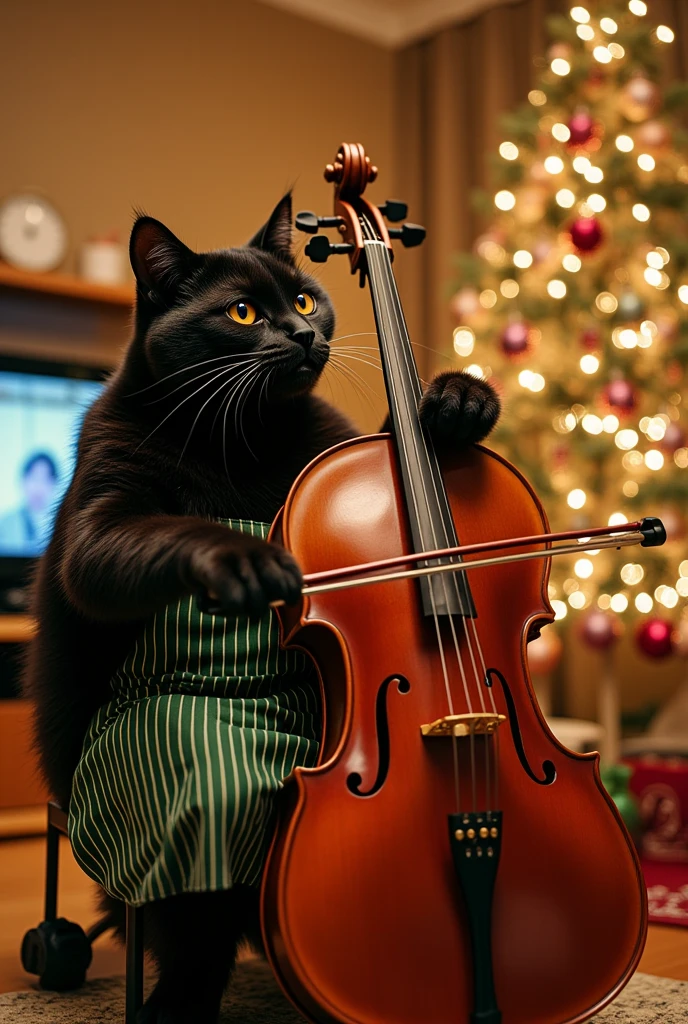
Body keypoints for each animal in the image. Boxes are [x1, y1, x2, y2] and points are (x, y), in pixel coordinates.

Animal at [22, 195, 499, 1019]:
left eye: (304, 300)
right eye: (243, 313)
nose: (303, 335)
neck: (237, 437)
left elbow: (394, 432)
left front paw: (454, 398)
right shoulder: (103, 516)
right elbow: (154, 539)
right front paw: (246, 558)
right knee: (191, 919)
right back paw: (172, 996)